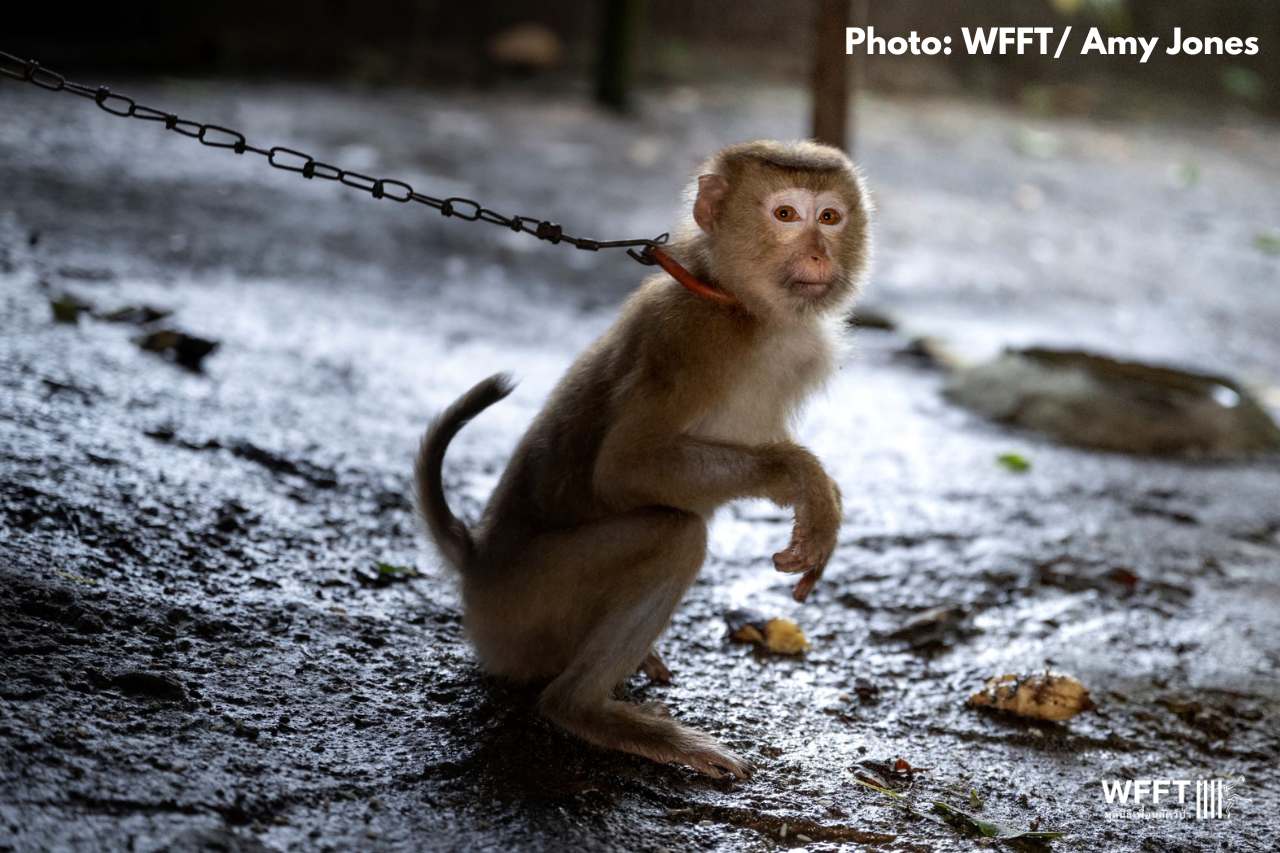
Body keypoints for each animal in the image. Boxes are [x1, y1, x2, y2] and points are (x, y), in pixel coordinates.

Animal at [414, 139, 875, 778]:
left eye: (830, 217)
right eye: (786, 215)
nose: (817, 252)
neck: (730, 298)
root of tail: (477, 562)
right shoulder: (692, 344)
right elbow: (625, 467)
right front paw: (803, 480)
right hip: (527, 608)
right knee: (674, 535)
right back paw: (584, 709)